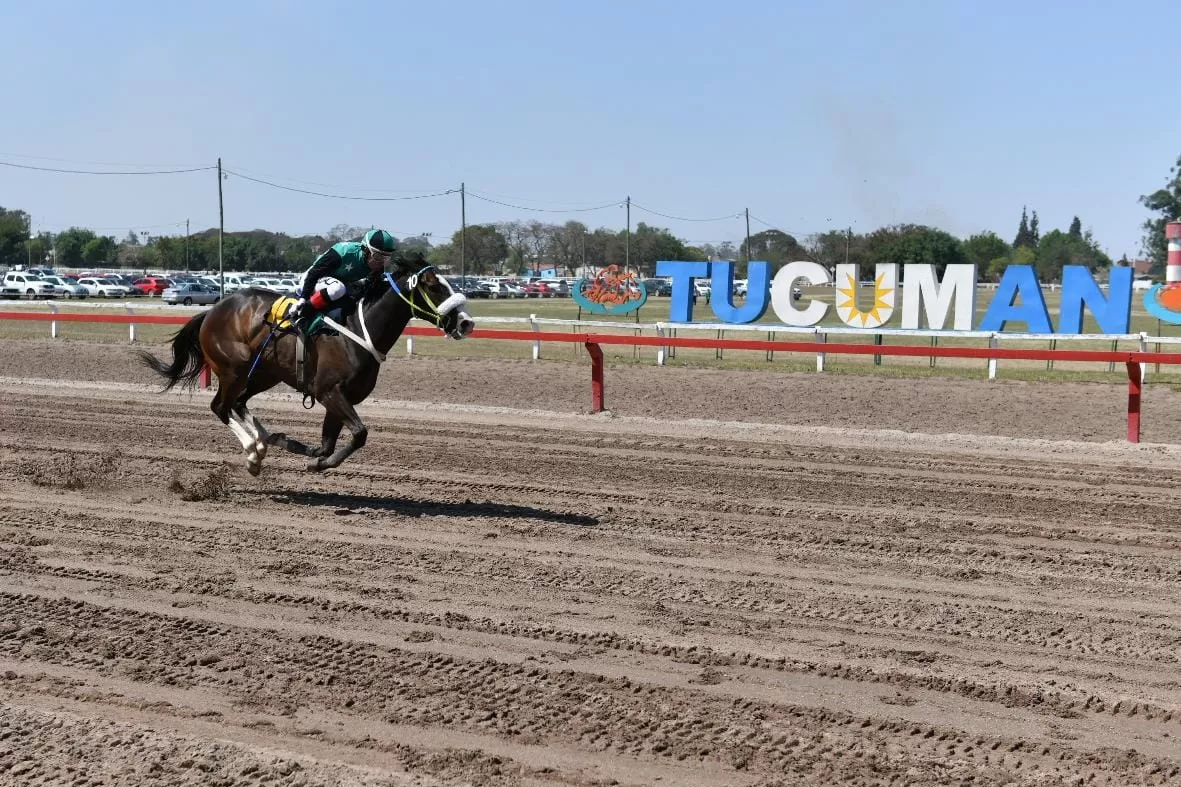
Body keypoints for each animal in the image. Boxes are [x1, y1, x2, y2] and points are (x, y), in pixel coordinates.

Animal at [135, 259, 472, 475]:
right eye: (433, 286)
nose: (466, 323)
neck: (357, 329)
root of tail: (212, 310)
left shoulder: (338, 398)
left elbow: (327, 444)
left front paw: (301, 451)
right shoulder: (329, 391)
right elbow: (359, 434)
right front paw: (315, 462)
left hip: (264, 373)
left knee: (239, 403)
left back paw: (263, 441)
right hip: (234, 369)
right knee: (220, 406)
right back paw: (252, 451)